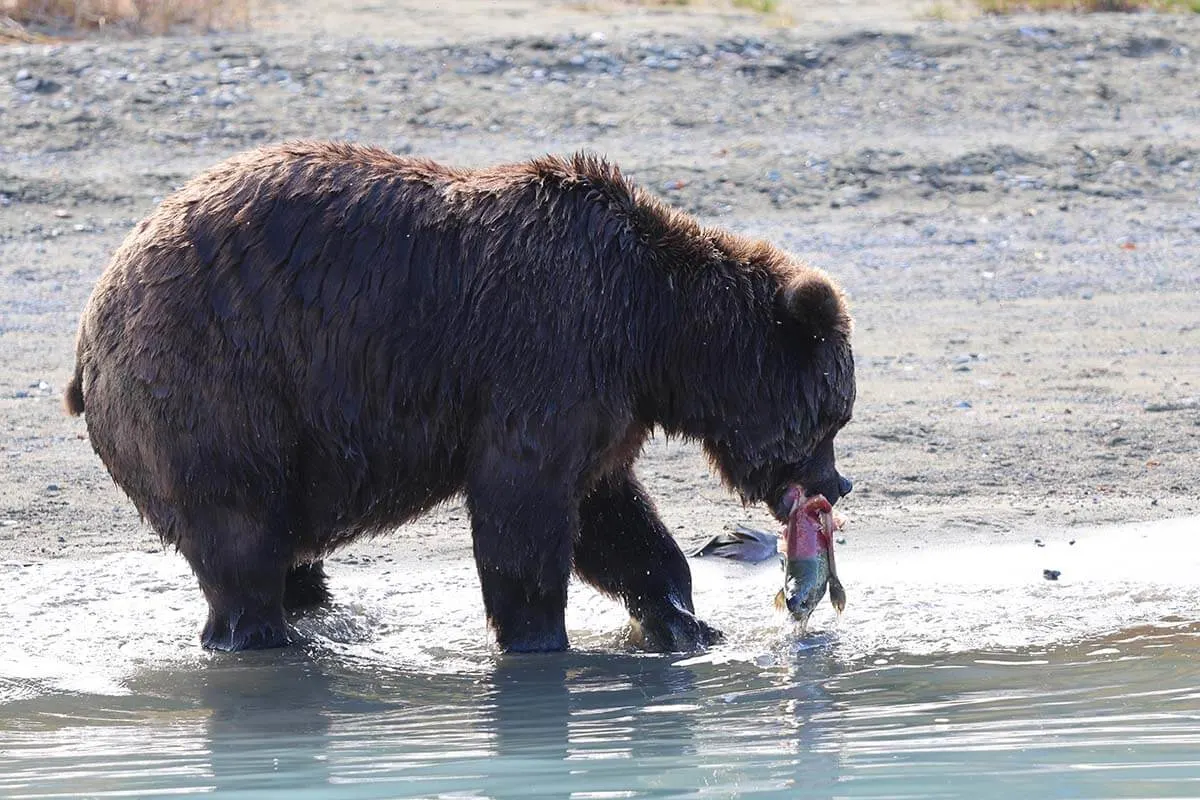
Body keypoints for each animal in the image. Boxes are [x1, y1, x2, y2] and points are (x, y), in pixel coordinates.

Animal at [65, 142, 859, 657]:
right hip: (220, 381)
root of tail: (91, 323)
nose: (839, 482)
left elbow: (611, 516)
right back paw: (261, 637)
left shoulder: (605, 404)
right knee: (240, 532)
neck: (654, 333)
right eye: (832, 415)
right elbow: (522, 509)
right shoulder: (546, 350)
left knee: (284, 550)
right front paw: (539, 639)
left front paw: (683, 620)